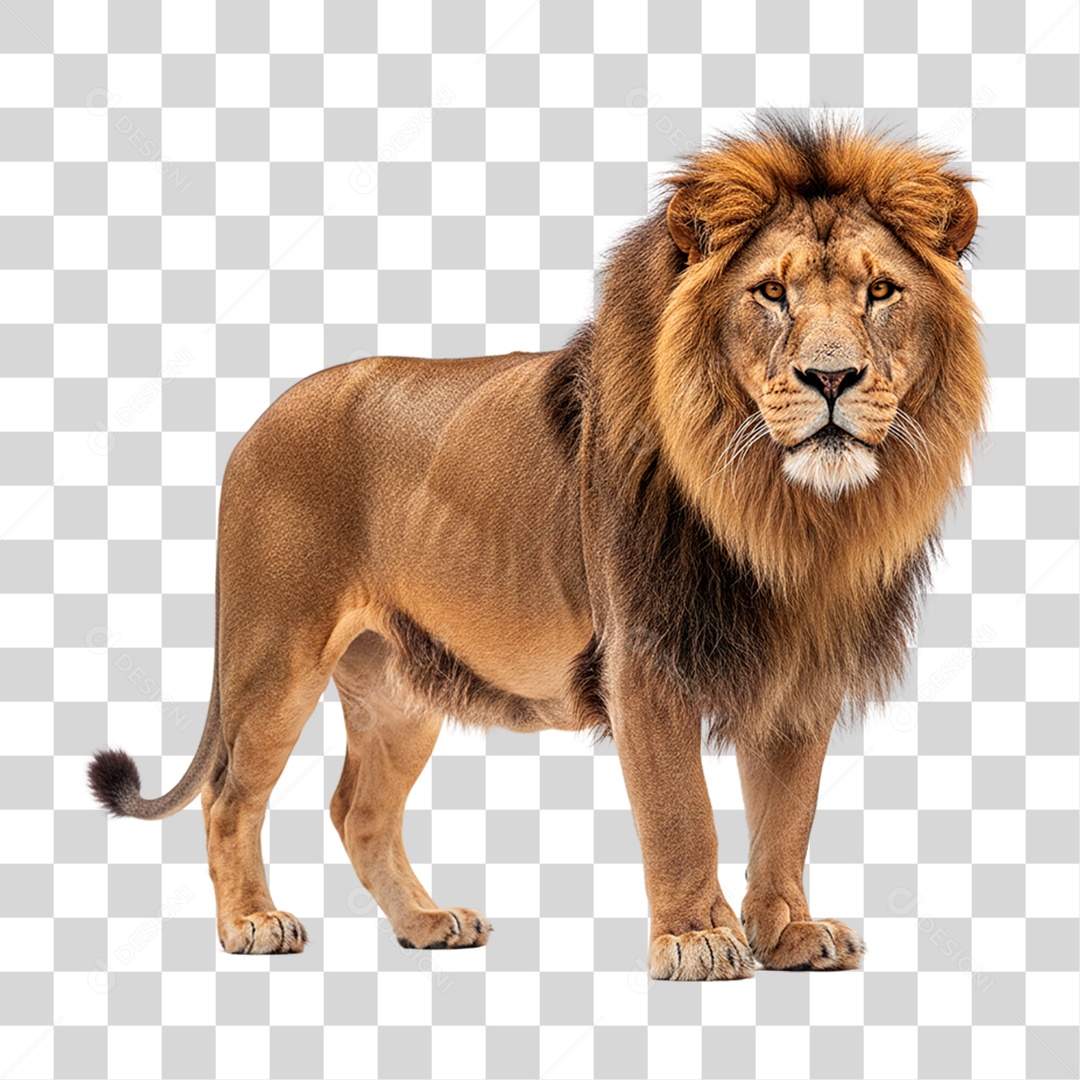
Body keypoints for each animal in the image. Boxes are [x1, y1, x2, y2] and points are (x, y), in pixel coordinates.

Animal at [89, 116, 986, 979]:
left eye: (880, 291)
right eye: (771, 292)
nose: (830, 379)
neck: (787, 516)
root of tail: (256, 422)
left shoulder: (800, 672)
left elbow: (787, 819)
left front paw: (790, 932)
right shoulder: (643, 660)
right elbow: (682, 813)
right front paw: (696, 939)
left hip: (396, 684)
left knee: (359, 810)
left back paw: (426, 923)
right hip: (276, 651)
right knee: (231, 794)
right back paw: (252, 922)